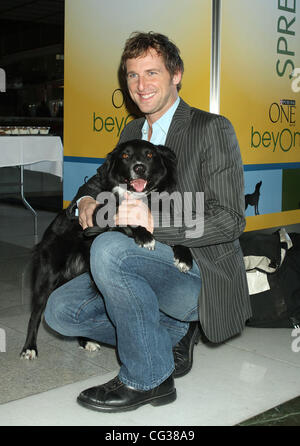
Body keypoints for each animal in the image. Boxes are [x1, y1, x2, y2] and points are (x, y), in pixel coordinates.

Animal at [21, 141, 192, 360]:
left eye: (150, 155)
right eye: (125, 155)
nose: (139, 168)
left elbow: (178, 237)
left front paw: (184, 257)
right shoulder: (101, 220)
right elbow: (125, 221)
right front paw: (144, 235)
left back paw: (85, 341)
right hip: (48, 275)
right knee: (35, 314)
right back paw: (29, 348)